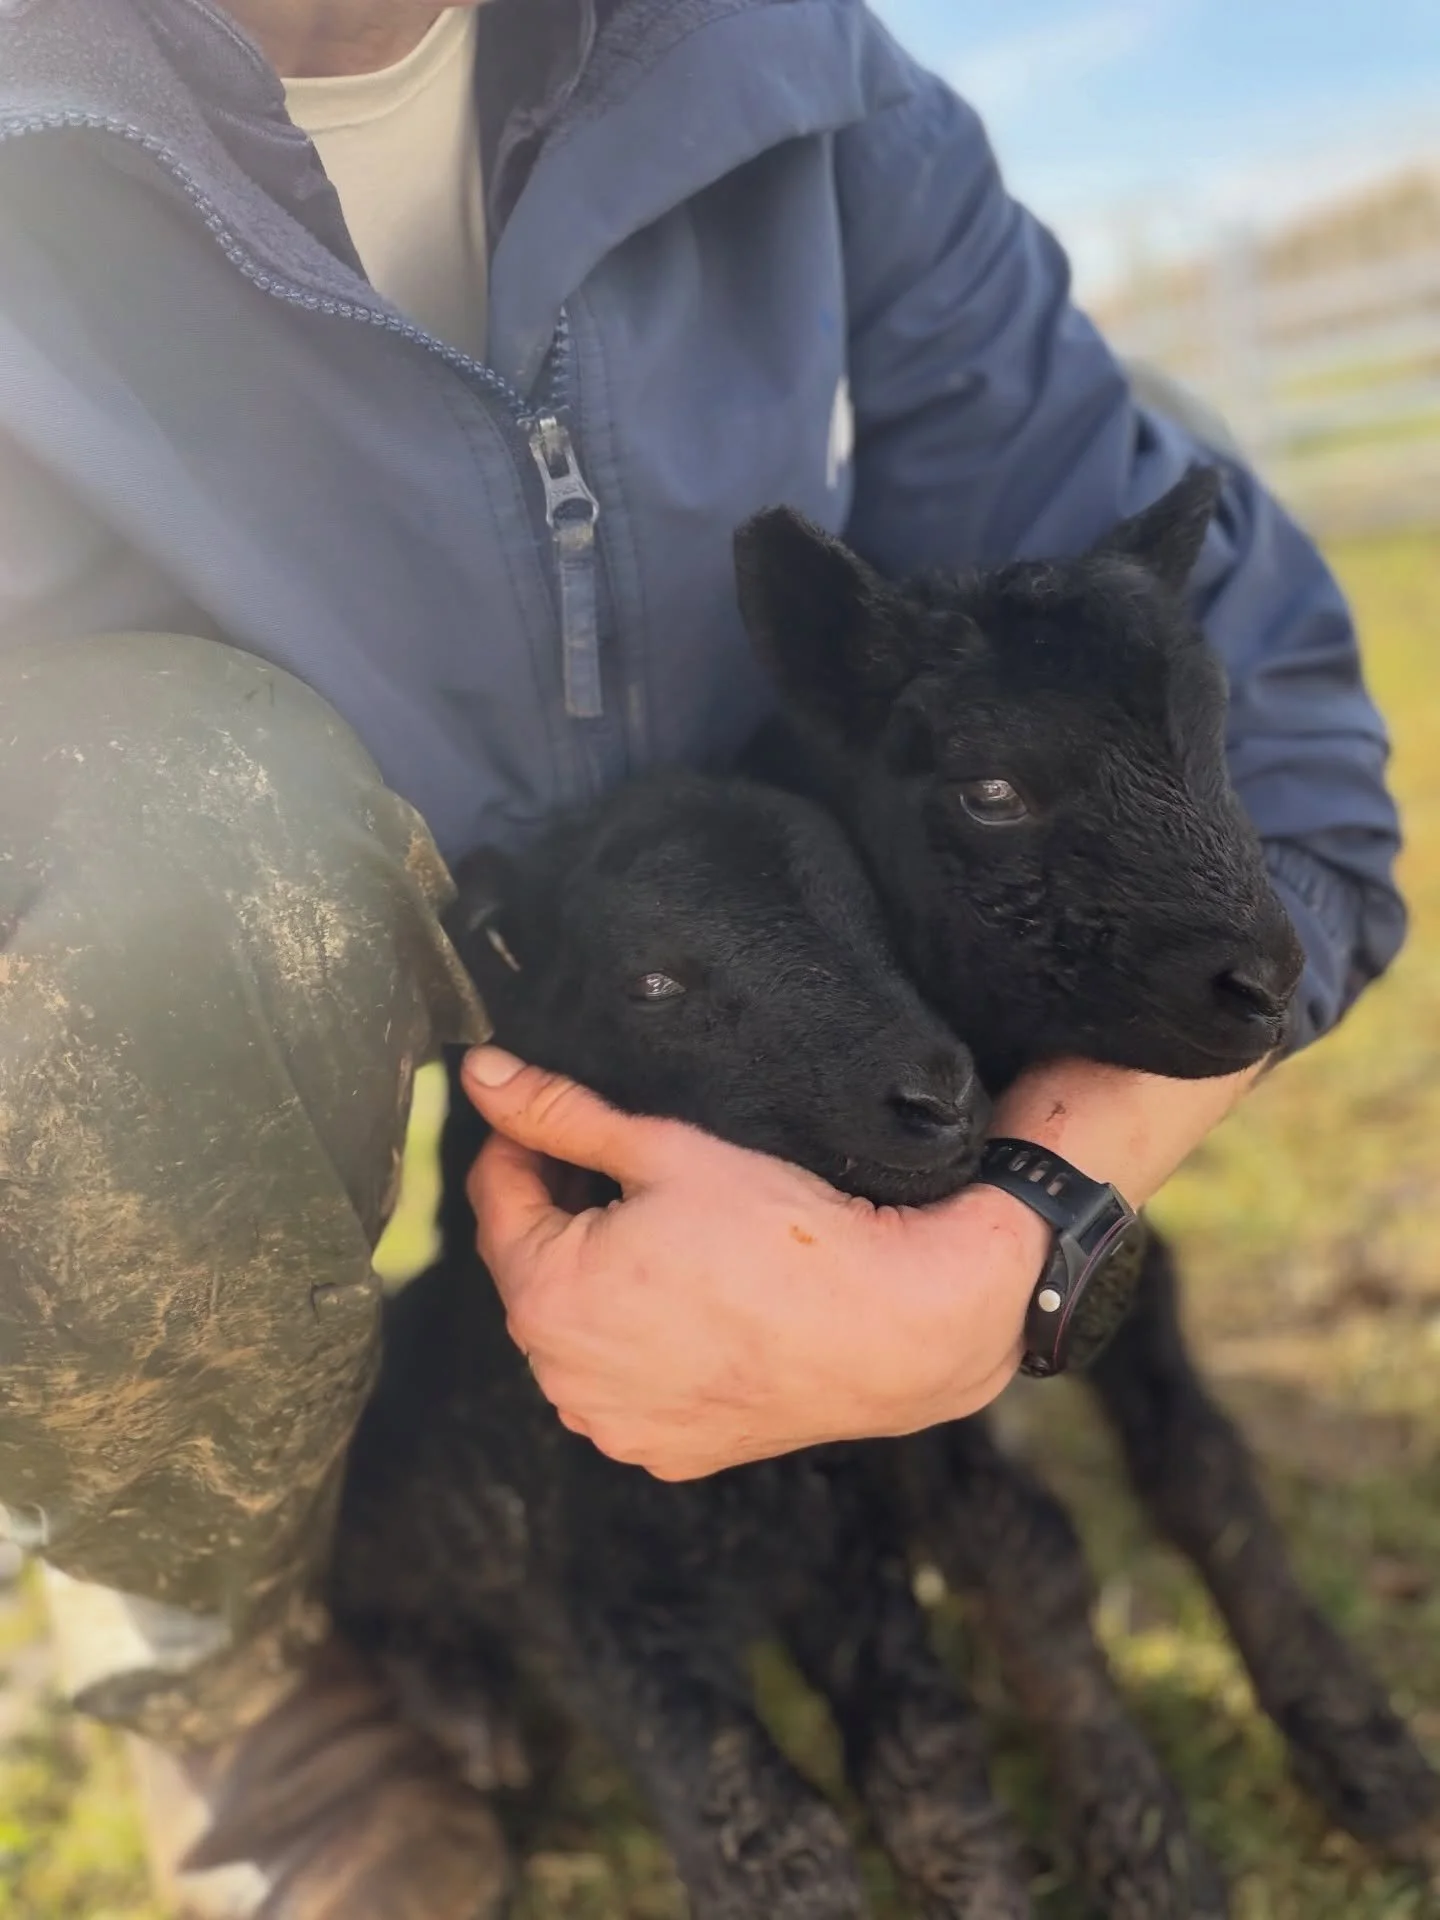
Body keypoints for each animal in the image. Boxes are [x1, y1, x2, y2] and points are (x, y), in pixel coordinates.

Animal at [734, 468, 1440, 1892]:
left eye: (1215, 743)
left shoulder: (1121, 1244)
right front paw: (1144, 1845)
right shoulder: (890, 1353)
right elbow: (1027, 1556)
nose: (1264, 983)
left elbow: (1206, 1471)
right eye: (991, 790)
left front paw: (1366, 1751)